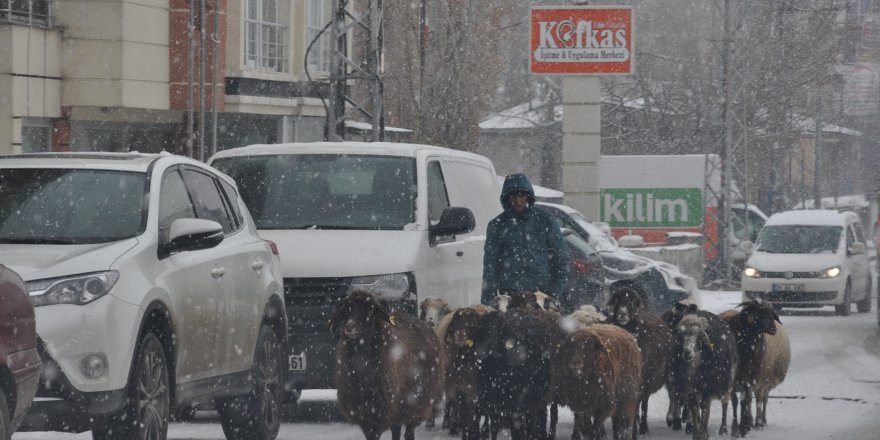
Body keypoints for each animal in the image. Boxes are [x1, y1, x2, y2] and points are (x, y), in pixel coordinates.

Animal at [328, 290, 444, 438]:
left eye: (370, 310)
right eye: (346, 310)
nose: (350, 326)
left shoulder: (380, 410)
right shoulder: (363, 413)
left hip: (415, 402)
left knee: (409, 432)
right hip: (398, 407)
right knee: (396, 430)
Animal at [608, 284, 672, 434]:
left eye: (632, 301)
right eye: (616, 300)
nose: (622, 314)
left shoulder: (640, 382)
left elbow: (638, 406)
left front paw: (634, 430)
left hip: (647, 380)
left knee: (644, 403)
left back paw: (643, 427)